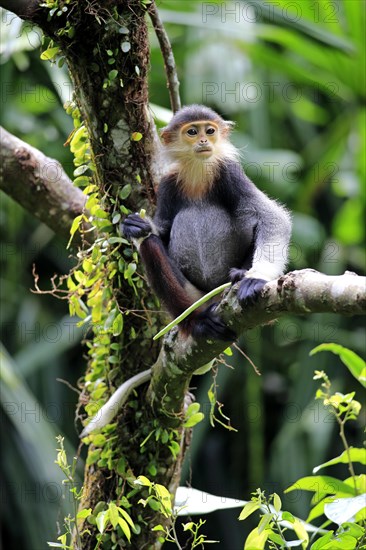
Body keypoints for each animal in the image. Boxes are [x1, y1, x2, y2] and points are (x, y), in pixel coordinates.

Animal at [123, 105, 292, 340]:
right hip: (192, 296)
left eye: (210, 131)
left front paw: (257, 277)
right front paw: (136, 226)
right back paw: (197, 322)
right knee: (151, 244)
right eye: (192, 132)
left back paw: (239, 276)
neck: (198, 172)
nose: (204, 140)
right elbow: (161, 230)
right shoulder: (168, 182)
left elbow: (274, 217)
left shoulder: (229, 172)